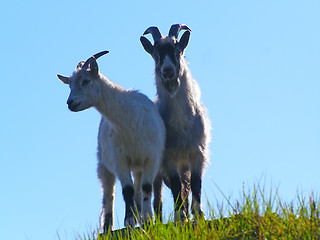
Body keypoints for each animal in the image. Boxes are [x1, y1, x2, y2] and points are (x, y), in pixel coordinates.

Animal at [57, 51, 165, 232]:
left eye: (86, 81)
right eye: (70, 85)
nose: (70, 103)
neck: (128, 122)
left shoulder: (152, 158)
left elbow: (146, 187)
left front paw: (147, 220)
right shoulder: (119, 159)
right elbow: (127, 190)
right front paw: (129, 221)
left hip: (137, 165)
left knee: (138, 189)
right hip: (103, 163)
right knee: (109, 194)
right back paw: (108, 227)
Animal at [139, 23, 210, 221]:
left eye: (178, 51)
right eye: (155, 55)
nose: (168, 71)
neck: (182, 127)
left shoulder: (198, 153)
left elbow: (196, 183)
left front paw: (198, 215)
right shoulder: (169, 158)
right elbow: (177, 186)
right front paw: (180, 217)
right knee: (158, 198)